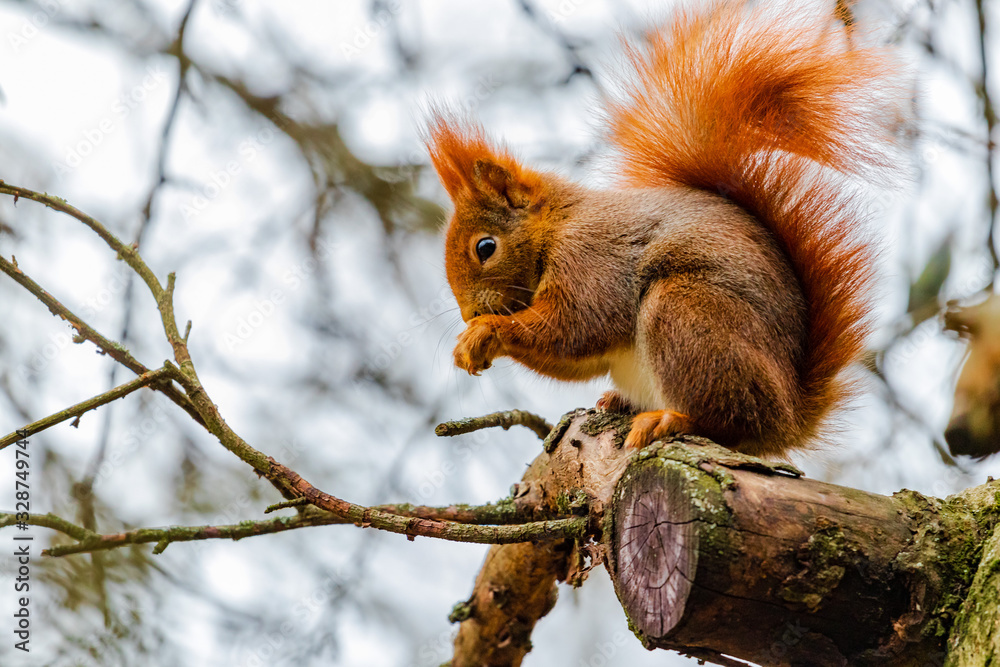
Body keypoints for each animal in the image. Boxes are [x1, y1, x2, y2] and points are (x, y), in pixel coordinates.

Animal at [426, 1, 899, 457]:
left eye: (485, 247)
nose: (470, 313)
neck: (558, 226)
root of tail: (790, 418)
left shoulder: (591, 259)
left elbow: (576, 327)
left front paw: (483, 333)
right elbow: (576, 357)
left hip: (686, 313)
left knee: (732, 420)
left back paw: (671, 419)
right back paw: (621, 402)